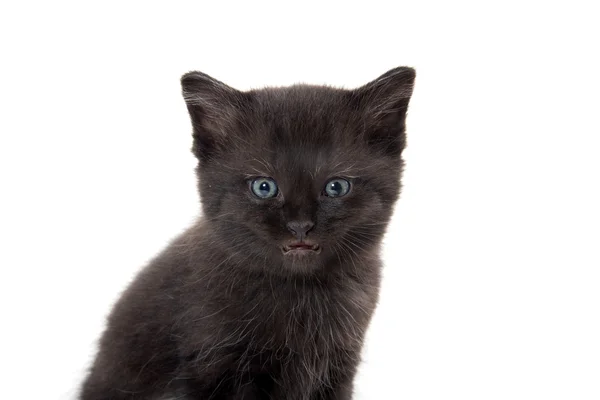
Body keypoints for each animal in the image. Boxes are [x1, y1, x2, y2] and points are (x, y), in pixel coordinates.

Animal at [79, 67, 414, 398]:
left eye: (336, 187)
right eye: (263, 187)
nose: (300, 225)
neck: (301, 292)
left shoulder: (338, 368)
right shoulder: (211, 367)